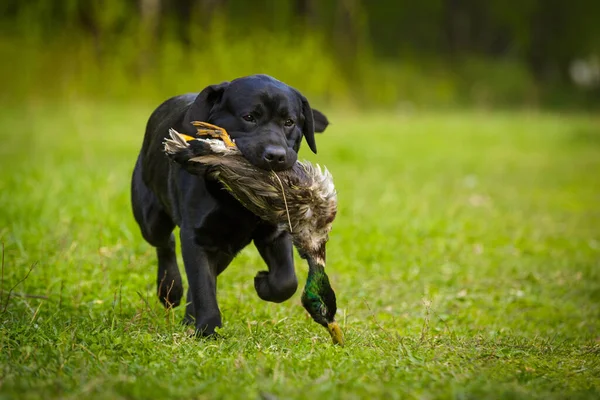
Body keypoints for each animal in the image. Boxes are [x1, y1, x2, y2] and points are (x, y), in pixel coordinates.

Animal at [130, 74, 328, 334]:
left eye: (289, 122)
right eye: (249, 117)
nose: (276, 155)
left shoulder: (275, 231)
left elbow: (286, 281)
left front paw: (263, 283)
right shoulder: (196, 236)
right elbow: (203, 287)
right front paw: (208, 329)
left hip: (224, 249)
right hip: (151, 218)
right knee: (166, 244)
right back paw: (170, 290)